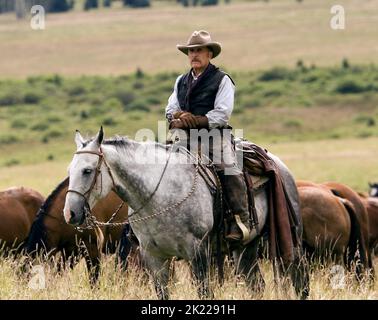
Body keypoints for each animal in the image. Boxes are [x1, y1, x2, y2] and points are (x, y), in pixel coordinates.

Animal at [63, 128, 308, 300]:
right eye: (70, 170)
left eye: (87, 171)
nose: (70, 213)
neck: (161, 193)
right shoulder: (153, 257)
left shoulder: (198, 252)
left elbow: (205, 293)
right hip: (246, 247)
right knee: (256, 284)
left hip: (291, 240)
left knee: (299, 279)